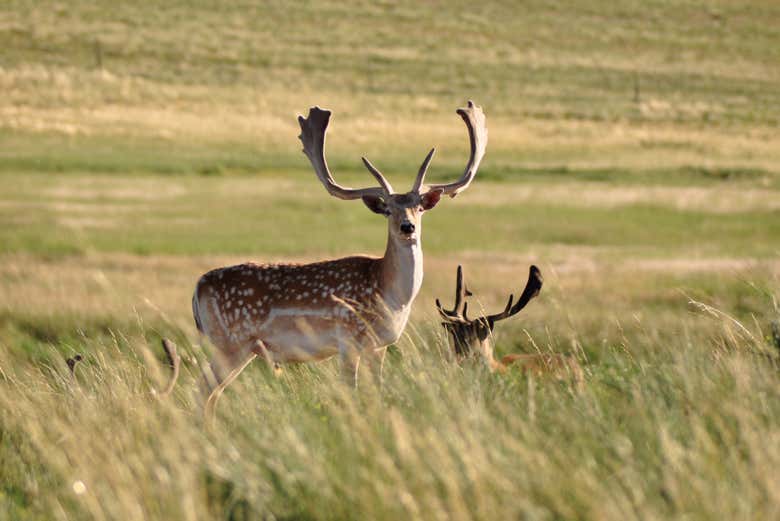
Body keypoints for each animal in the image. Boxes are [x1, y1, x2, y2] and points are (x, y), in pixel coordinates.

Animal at [187, 100, 482, 402]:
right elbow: (350, 388)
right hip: (231, 342)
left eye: (419, 207)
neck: (389, 295)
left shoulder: (380, 345)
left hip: (241, 347)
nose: (407, 226)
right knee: (201, 390)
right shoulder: (348, 336)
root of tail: (198, 288)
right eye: (388, 209)